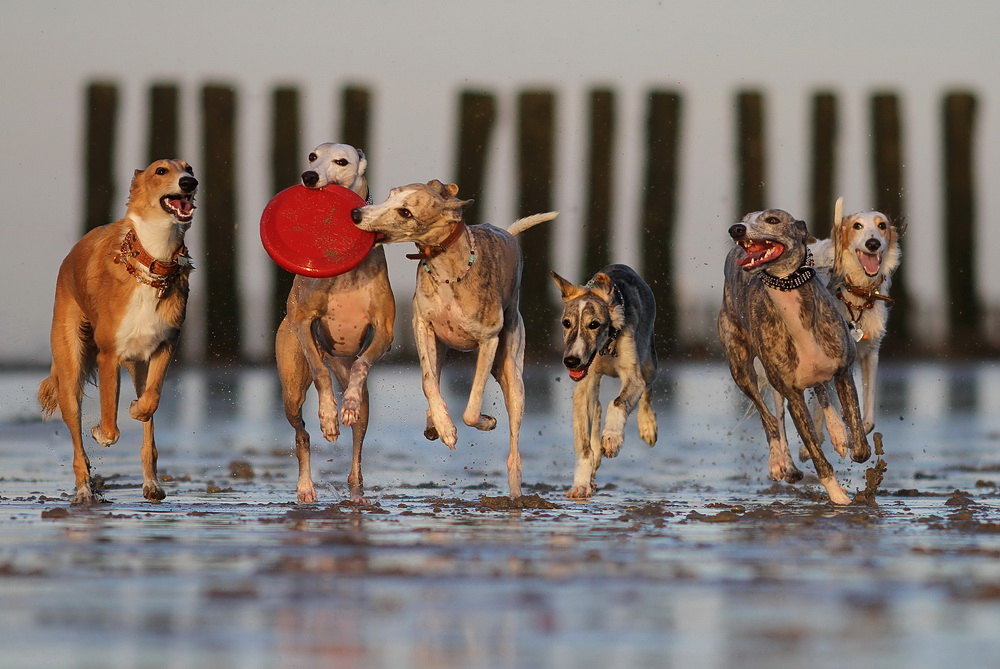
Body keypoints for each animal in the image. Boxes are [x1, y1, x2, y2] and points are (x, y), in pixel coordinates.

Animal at [37, 159, 197, 504]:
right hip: (70, 370)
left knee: (149, 429)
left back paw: (152, 483)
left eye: (189, 167)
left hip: (138, 364)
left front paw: (137, 409)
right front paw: (101, 433)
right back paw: (85, 489)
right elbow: (110, 426)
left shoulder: (165, 345)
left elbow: (150, 402)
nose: (189, 183)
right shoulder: (108, 355)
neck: (151, 262)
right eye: (161, 171)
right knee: (77, 442)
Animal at [278, 142, 398, 506]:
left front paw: (345, 408)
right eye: (312, 157)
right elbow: (320, 376)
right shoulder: (304, 323)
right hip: (291, 386)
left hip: (357, 392)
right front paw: (329, 418)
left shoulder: (384, 331)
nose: (309, 177)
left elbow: (362, 366)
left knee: (357, 446)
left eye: (341, 161)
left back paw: (357, 493)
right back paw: (305, 487)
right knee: (301, 434)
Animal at [350, 180, 556, 498]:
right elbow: (427, 383)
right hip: (443, 347)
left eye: (406, 212)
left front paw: (484, 421)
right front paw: (444, 426)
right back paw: (433, 422)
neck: (449, 266)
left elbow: (471, 408)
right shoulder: (422, 326)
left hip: (511, 369)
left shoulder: (488, 340)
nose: (357, 214)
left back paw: (515, 489)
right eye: (391, 195)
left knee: (514, 446)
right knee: (434, 377)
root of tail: (508, 234)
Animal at [552, 264, 660, 498]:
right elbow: (584, 446)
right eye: (566, 323)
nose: (571, 361)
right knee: (598, 408)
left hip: (648, 363)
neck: (606, 348)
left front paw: (612, 439)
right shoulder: (584, 385)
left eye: (594, 324)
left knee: (647, 390)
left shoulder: (633, 377)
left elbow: (618, 402)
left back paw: (647, 426)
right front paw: (581, 484)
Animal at [716, 207, 872, 500]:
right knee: (767, 416)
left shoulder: (844, 372)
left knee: (820, 390)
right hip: (740, 367)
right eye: (746, 217)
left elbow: (860, 446)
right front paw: (839, 497)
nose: (736, 229)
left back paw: (836, 432)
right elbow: (815, 454)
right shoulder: (792, 396)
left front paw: (846, 438)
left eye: (772, 220)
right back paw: (780, 462)